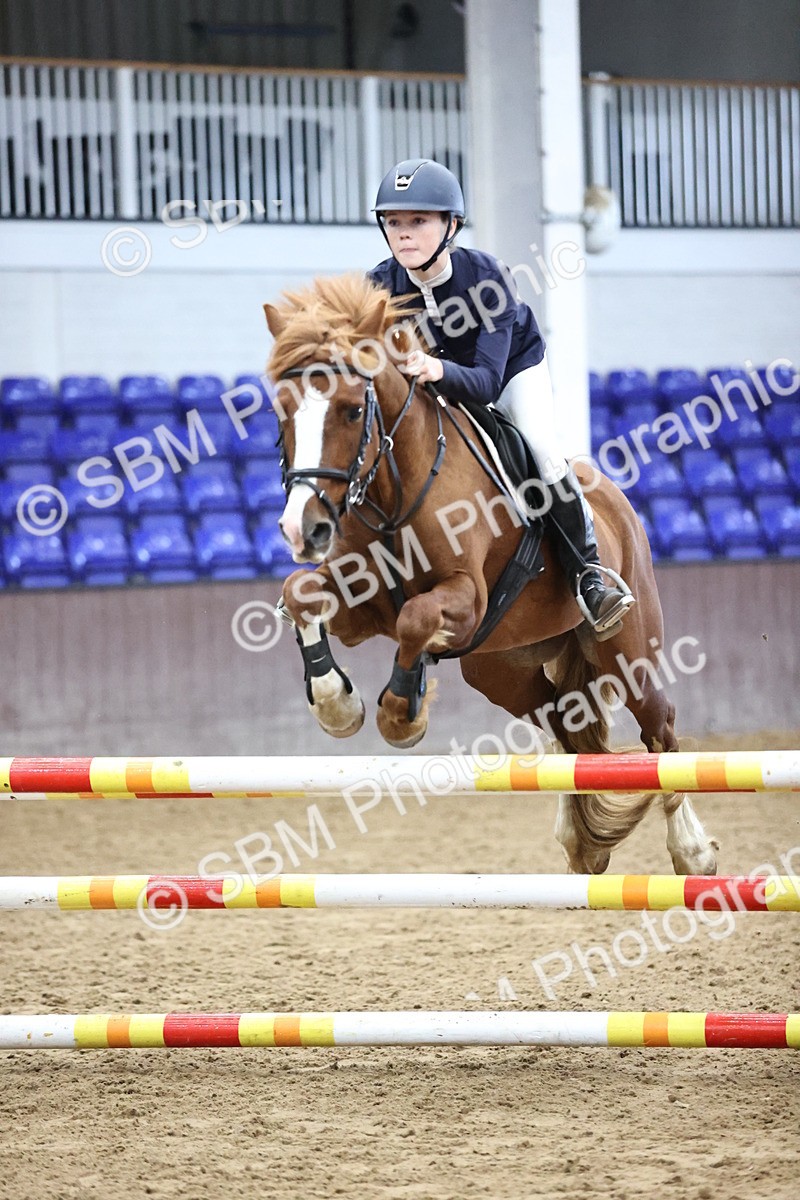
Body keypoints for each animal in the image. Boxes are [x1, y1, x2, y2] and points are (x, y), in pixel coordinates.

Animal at [263, 274, 718, 877]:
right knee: (567, 725)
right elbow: (302, 594)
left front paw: (402, 716)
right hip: (501, 670)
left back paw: (691, 851)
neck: (396, 484)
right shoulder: (362, 606)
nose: (304, 529)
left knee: (659, 727)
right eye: (282, 411)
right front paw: (339, 705)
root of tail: (617, 501)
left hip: (627, 648)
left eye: (351, 411)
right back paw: (583, 846)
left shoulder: (466, 598)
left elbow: (416, 618)